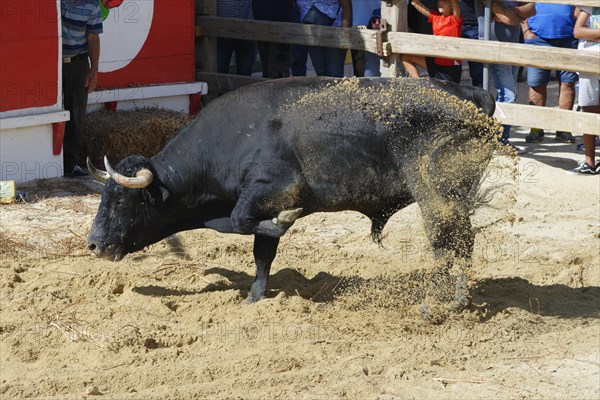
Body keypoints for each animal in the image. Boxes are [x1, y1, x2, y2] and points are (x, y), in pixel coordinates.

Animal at [86, 77, 502, 318]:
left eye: (122, 202)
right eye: (103, 198)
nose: (92, 244)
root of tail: (474, 93)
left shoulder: (268, 191)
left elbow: (242, 223)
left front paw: (283, 224)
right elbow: (261, 252)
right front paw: (255, 296)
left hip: (437, 196)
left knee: (450, 245)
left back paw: (443, 303)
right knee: (458, 244)